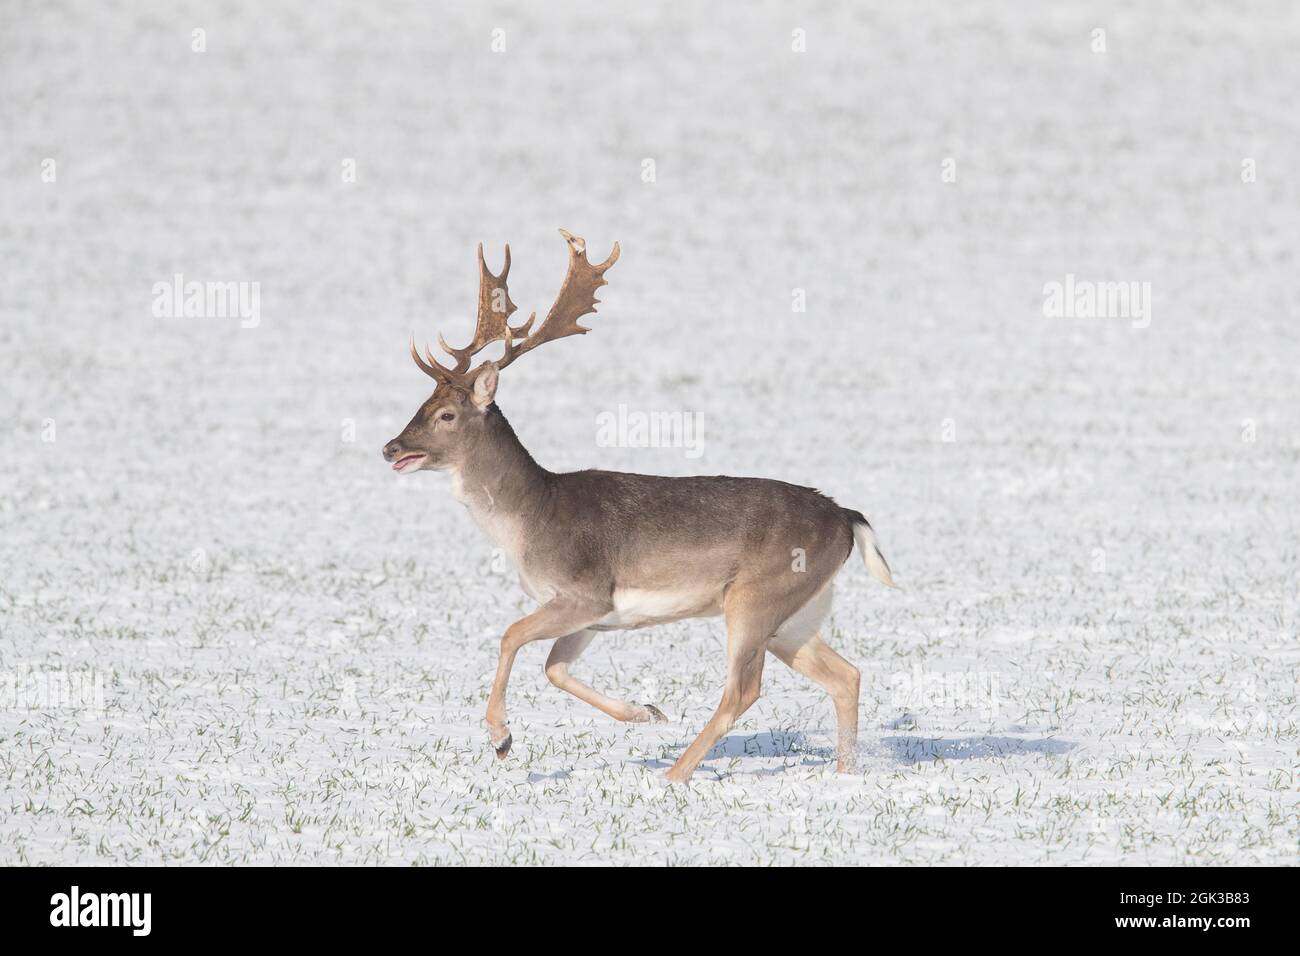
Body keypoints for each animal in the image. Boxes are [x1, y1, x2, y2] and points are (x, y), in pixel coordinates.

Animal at [383, 230, 896, 783]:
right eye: (420, 404)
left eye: (446, 414)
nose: (391, 447)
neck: (530, 518)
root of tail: (845, 517)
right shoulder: (592, 617)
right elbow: (555, 667)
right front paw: (646, 711)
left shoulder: (585, 590)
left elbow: (511, 635)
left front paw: (501, 738)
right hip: (798, 614)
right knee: (846, 674)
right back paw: (843, 773)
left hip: (758, 594)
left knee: (744, 689)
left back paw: (673, 776)